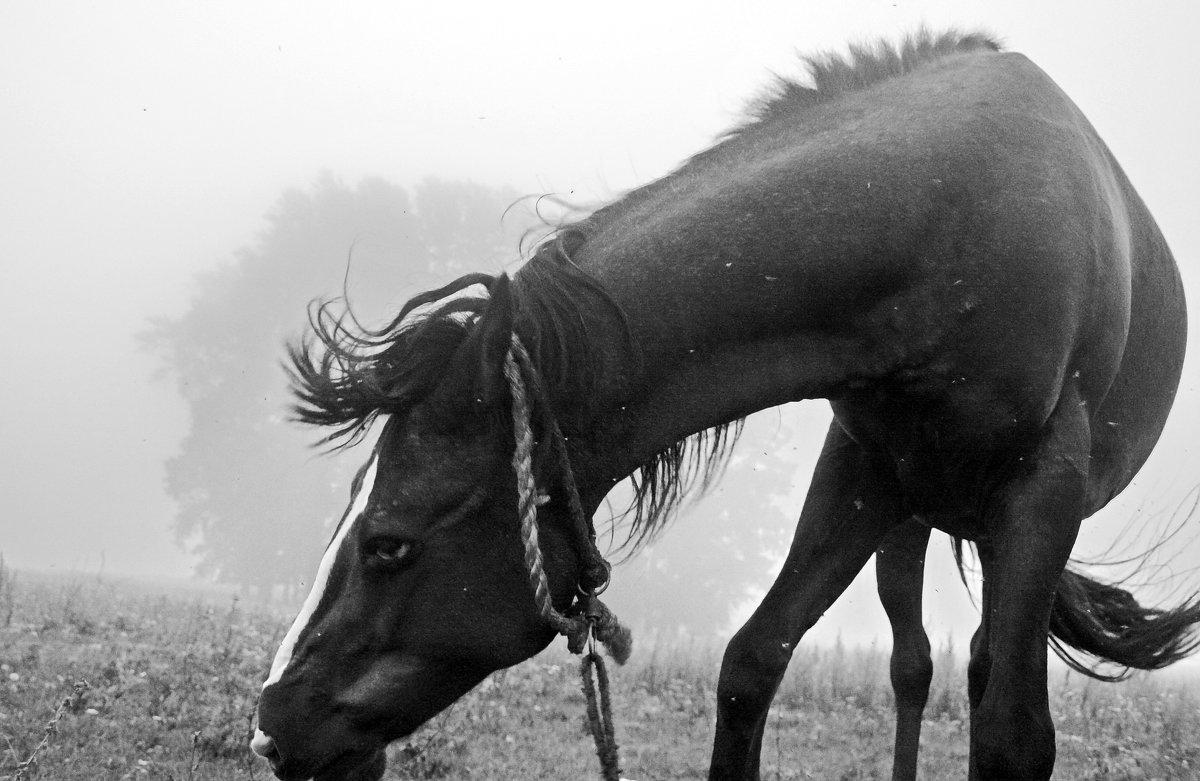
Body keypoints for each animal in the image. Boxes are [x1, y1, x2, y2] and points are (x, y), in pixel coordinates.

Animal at [248, 33, 1195, 781]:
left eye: (388, 544)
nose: (270, 727)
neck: (949, 220)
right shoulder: (866, 471)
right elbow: (751, 663)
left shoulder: (1043, 487)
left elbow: (1014, 735)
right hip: (921, 516)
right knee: (918, 664)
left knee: (973, 665)